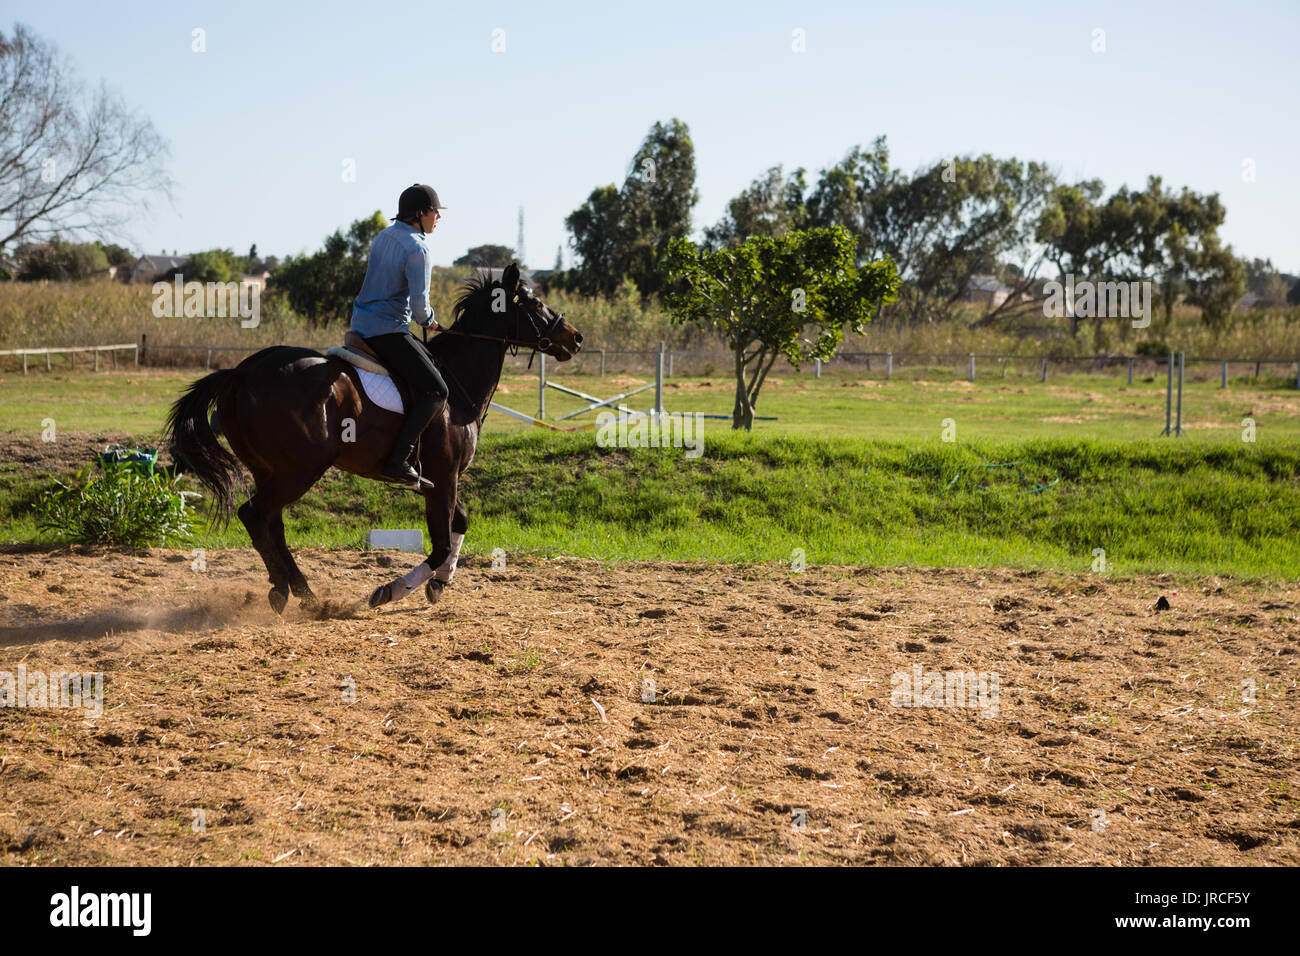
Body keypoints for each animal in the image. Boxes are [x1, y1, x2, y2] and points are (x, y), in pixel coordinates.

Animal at [164, 263, 582, 613]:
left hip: (271, 470)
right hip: (301, 469)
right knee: (255, 515)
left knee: (270, 522)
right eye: (534, 302)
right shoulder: (445, 476)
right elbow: (441, 543)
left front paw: (440, 583)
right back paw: (291, 591)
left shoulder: (435, 480)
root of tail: (241, 373)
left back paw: (299, 591)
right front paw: (390, 590)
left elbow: (460, 523)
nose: (576, 338)